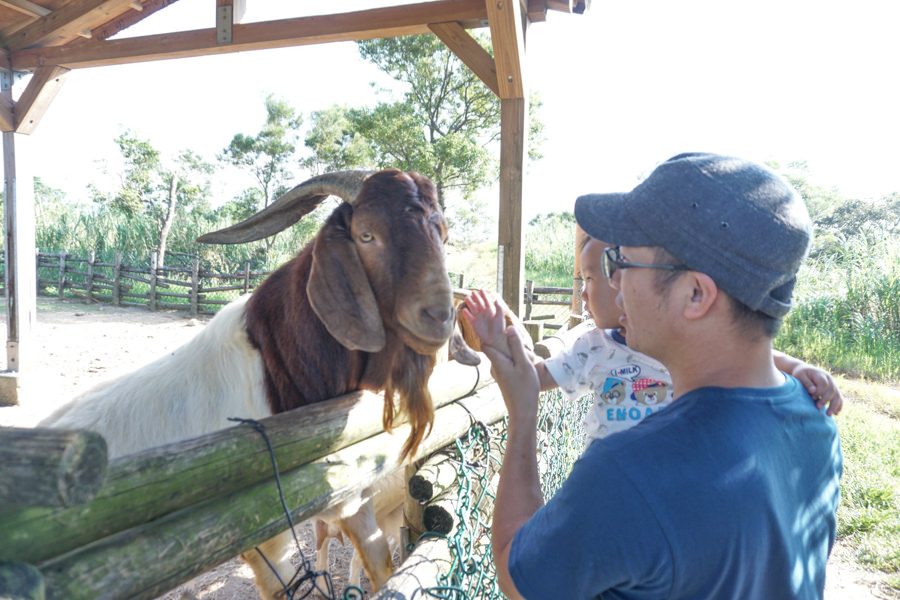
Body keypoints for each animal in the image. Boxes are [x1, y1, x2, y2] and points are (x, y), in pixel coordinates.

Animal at [37, 170, 458, 600]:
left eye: (442, 233)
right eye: (367, 235)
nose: (439, 316)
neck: (273, 363)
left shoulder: (352, 499)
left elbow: (382, 568)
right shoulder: (267, 526)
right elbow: (282, 586)